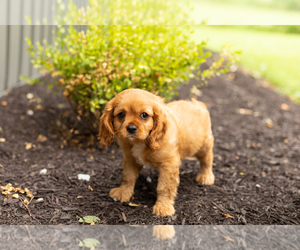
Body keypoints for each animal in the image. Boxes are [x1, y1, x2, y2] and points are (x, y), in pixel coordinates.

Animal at [99, 88, 214, 217]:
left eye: (144, 115)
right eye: (121, 114)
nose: (131, 128)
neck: (141, 142)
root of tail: (197, 104)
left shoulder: (168, 164)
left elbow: (164, 187)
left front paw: (163, 207)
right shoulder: (130, 158)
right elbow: (128, 176)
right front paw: (123, 192)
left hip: (203, 145)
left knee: (207, 159)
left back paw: (205, 177)